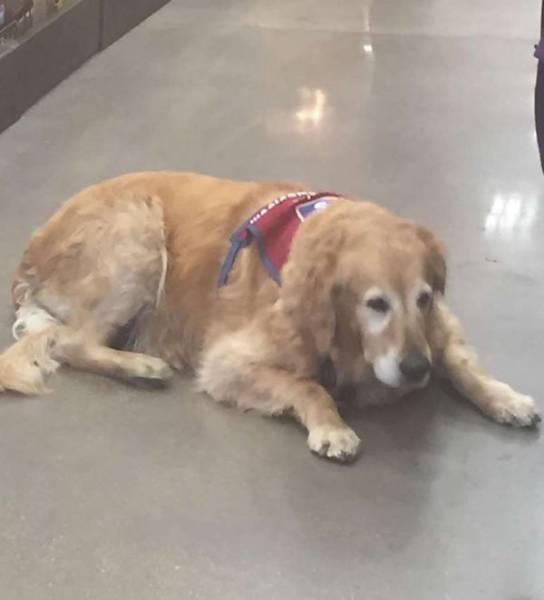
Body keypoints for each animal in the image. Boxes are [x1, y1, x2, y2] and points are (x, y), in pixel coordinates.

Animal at [0, 171, 536, 462]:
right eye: (375, 304)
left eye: (423, 298)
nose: (415, 370)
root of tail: (30, 256)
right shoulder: (228, 361)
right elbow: (309, 386)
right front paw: (332, 427)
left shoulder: (438, 327)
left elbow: (464, 364)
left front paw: (505, 398)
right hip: (138, 232)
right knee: (73, 341)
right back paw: (141, 366)